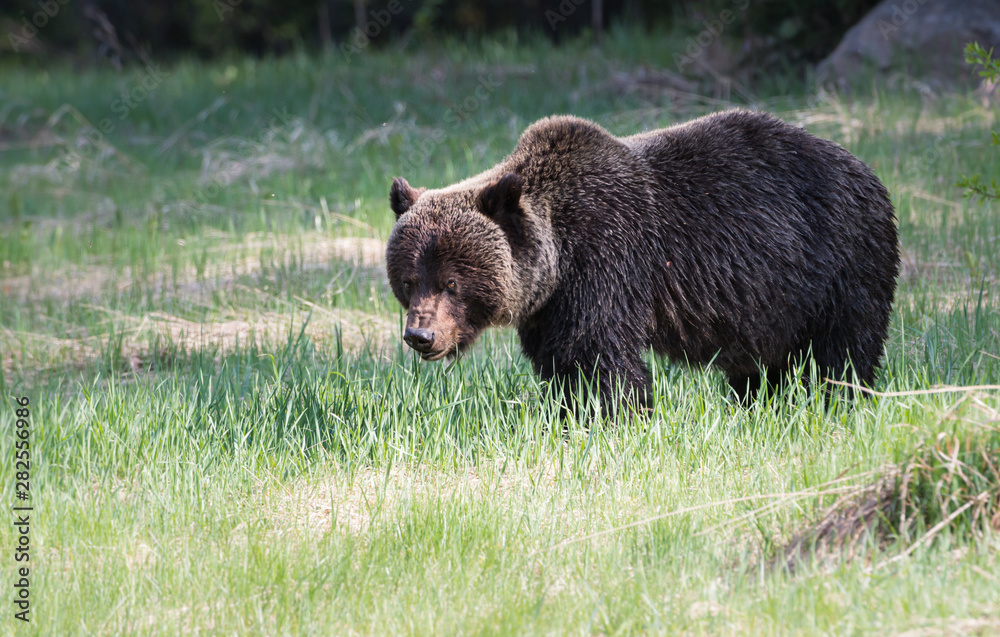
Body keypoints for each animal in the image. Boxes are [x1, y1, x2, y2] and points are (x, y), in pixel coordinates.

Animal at [385, 109, 899, 413]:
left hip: (840, 262)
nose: (421, 336)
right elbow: (559, 360)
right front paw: (567, 411)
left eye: (452, 282)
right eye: (409, 281)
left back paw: (835, 402)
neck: (559, 254)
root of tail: (865, 169)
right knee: (762, 364)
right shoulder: (548, 307)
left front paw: (612, 415)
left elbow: (598, 356)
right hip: (775, 300)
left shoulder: (607, 260)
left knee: (842, 350)